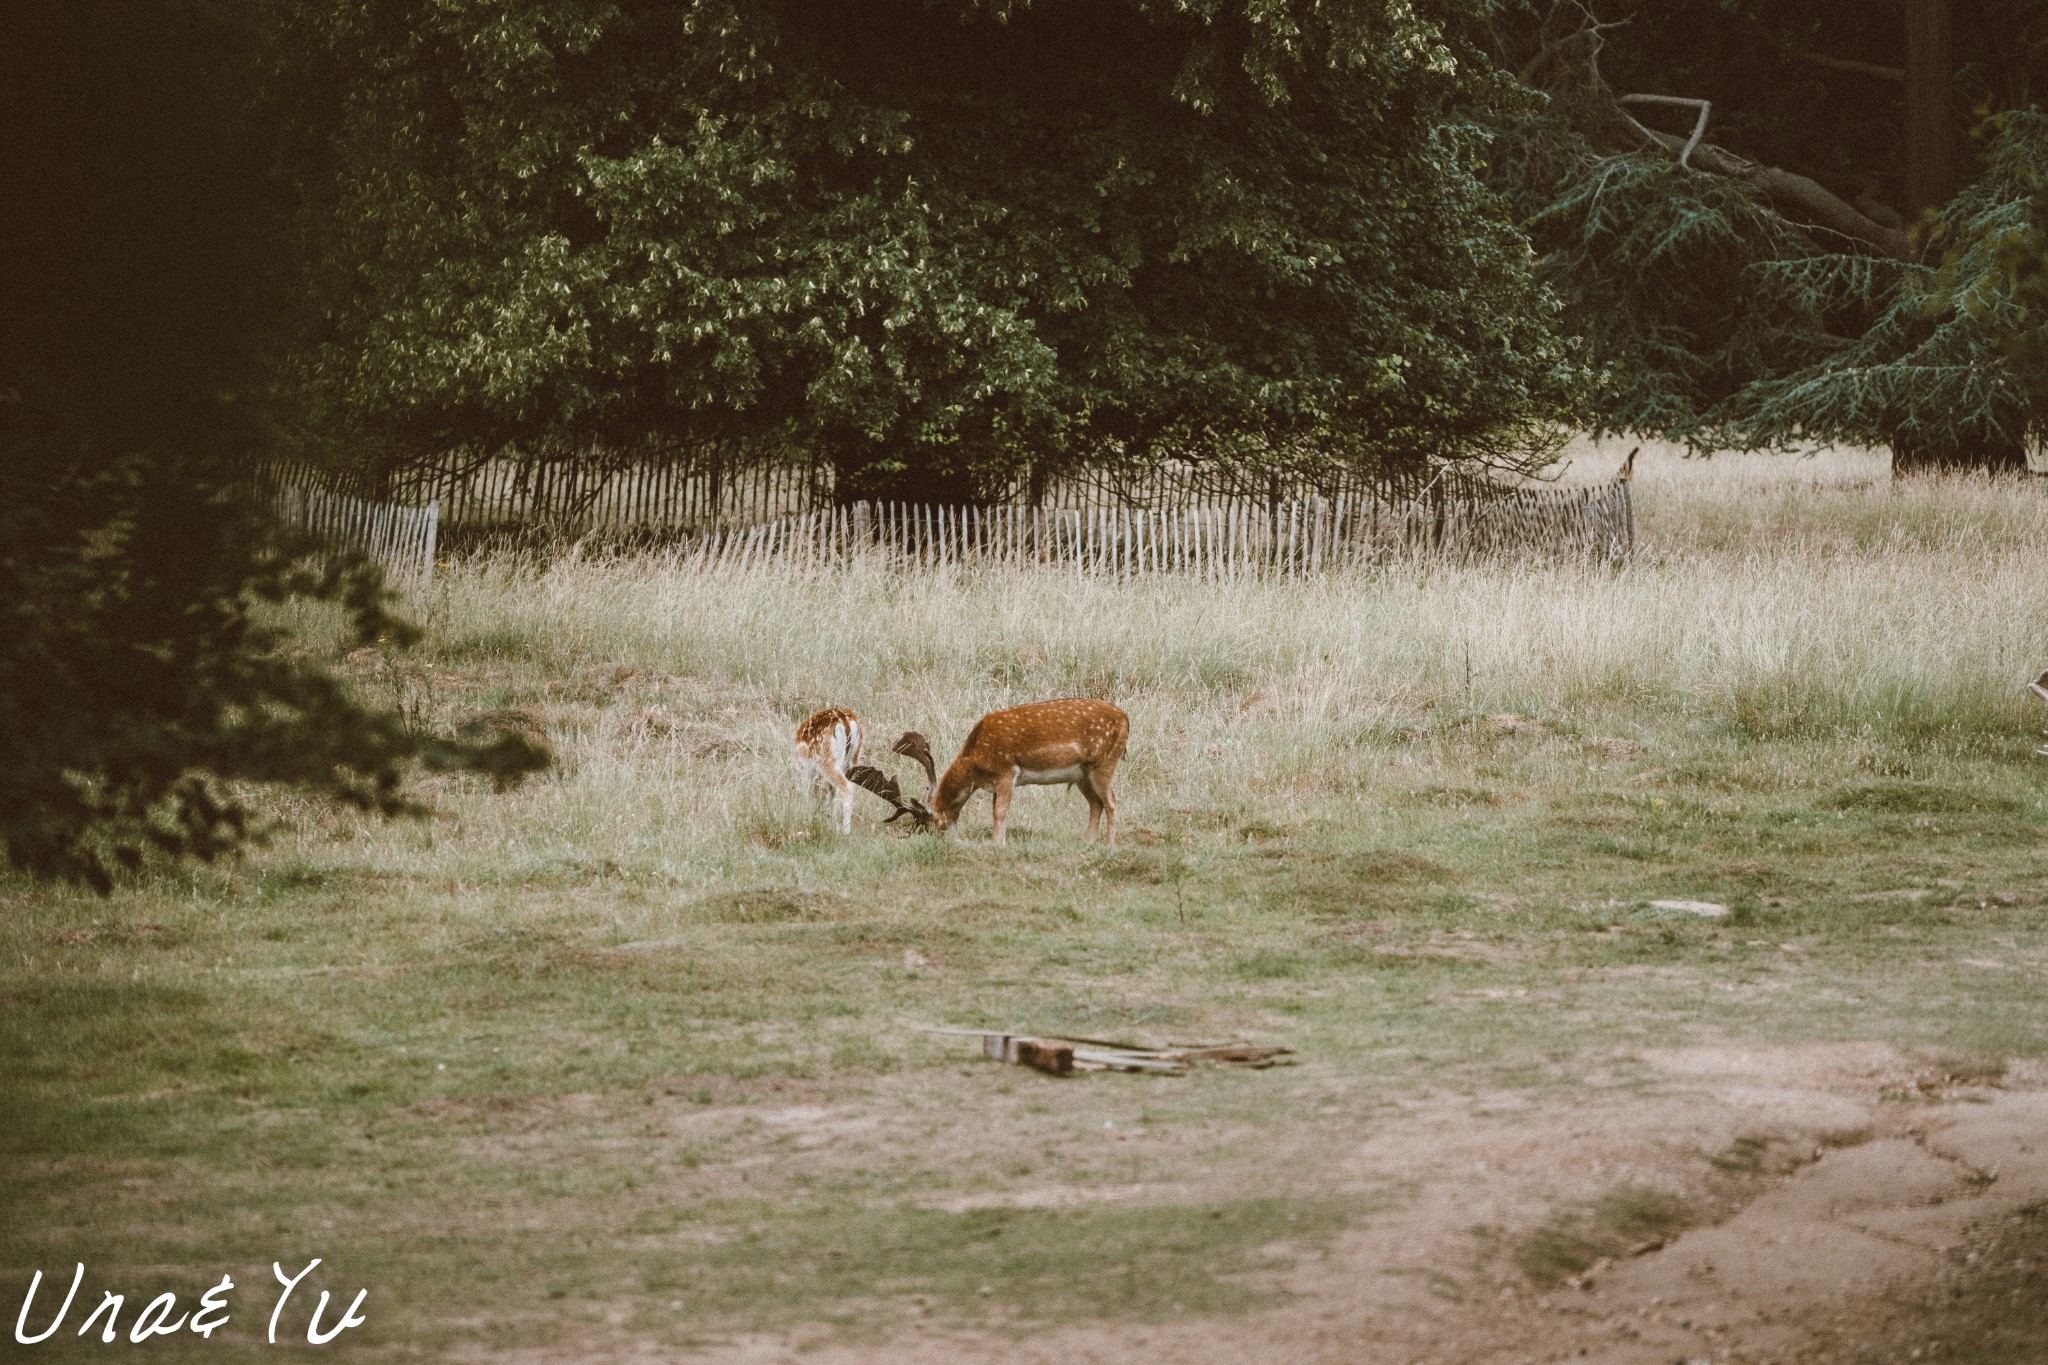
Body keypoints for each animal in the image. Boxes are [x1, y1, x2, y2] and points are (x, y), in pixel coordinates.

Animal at [790, 703, 864, 834]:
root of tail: (847, 723)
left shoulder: (805, 768)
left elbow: (808, 791)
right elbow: (831, 792)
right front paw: (830, 820)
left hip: (827, 760)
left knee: (846, 787)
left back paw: (846, 831)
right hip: (854, 757)